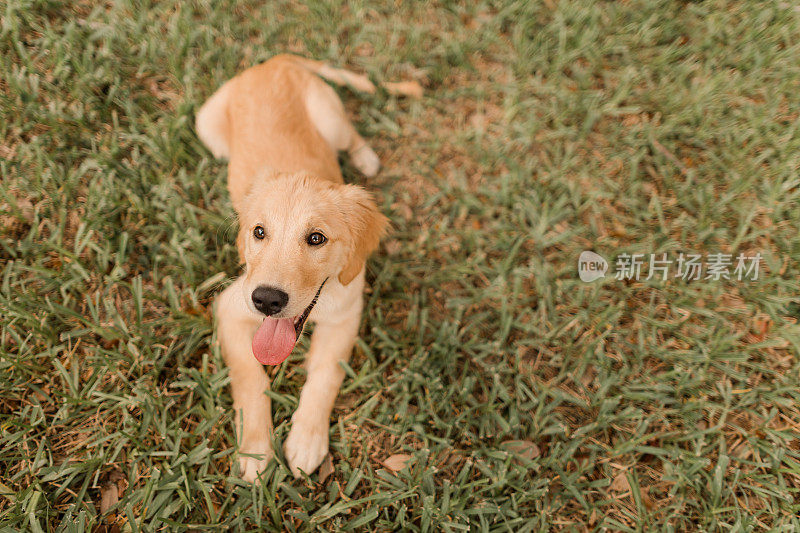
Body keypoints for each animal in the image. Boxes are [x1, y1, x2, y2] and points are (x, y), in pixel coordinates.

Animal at [195, 56, 418, 480]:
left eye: (316, 238)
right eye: (258, 232)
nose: (266, 301)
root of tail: (273, 60)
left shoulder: (346, 314)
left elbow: (325, 376)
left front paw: (307, 440)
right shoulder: (231, 307)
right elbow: (249, 377)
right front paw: (256, 451)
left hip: (330, 117)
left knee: (350, 134)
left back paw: (366, 157)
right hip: (207, 125)